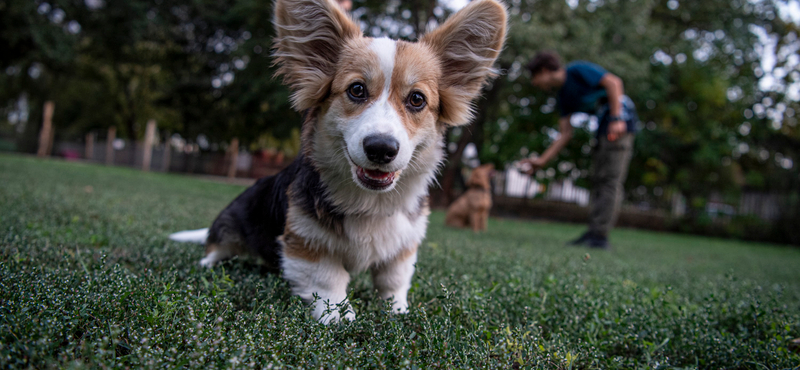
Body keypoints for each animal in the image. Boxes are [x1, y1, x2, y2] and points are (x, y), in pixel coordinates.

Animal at [170, 0, 506, 324]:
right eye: (356, 89)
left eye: (417, 99)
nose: (381, 148)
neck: (370, 203)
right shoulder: (305, 242)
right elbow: (327, 279)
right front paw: (337, 315)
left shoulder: (402, 247)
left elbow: (394, 282)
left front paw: (397, 311)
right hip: (230, 225)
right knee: (217, 248)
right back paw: (209, 262)